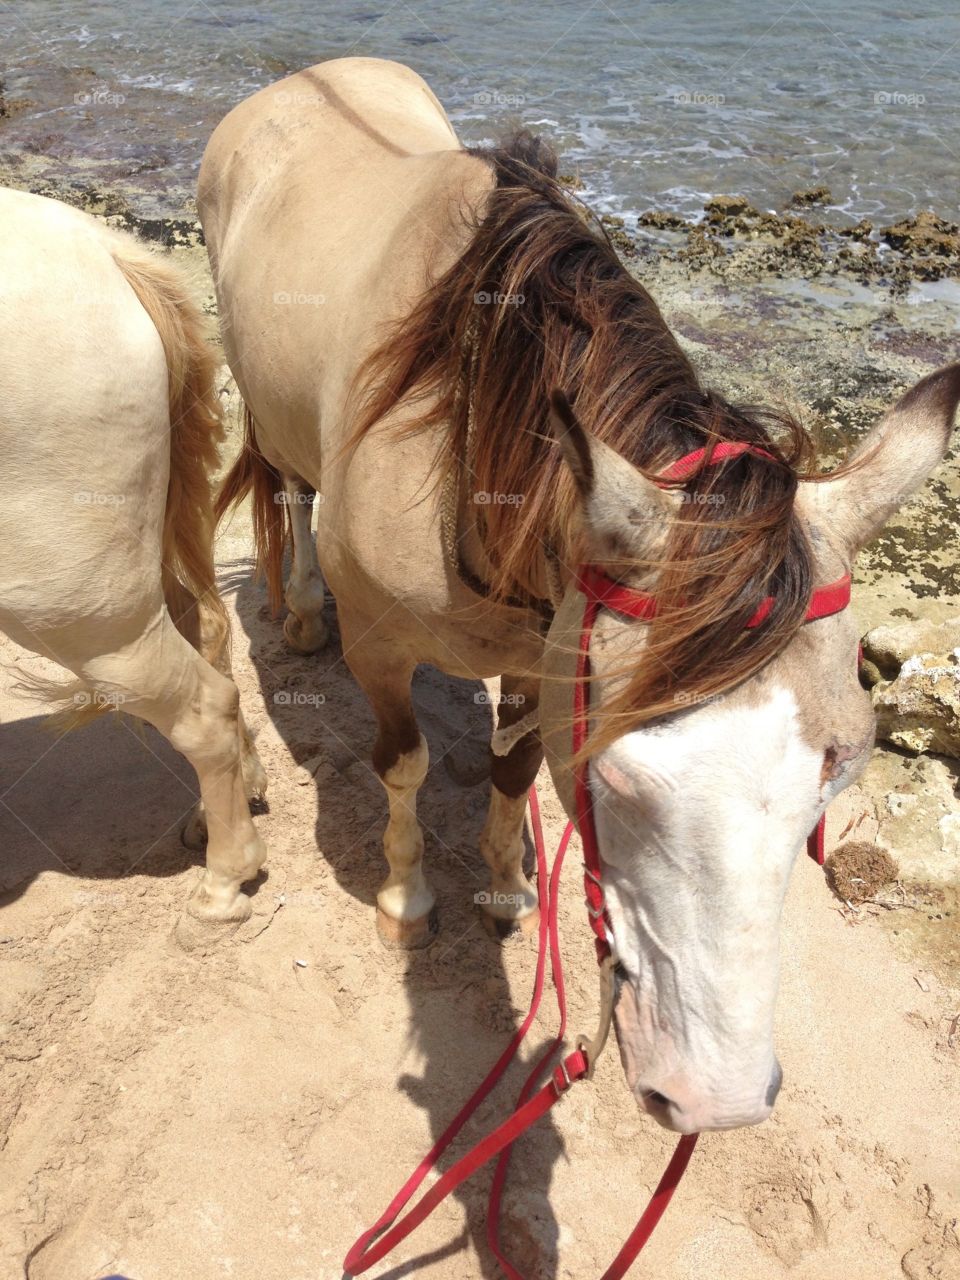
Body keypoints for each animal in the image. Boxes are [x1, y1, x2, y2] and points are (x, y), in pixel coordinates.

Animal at [199, 57, 957, 1131]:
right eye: (623, 780)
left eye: (842, 768)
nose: (716, 1100)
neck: (465, 442)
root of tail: (302, 78)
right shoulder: (385, 655)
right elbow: (403, 765)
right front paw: (407, 901)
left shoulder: (548, 647)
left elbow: (514, 770)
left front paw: (509, 887)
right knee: (289, 489)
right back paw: (302, 607)